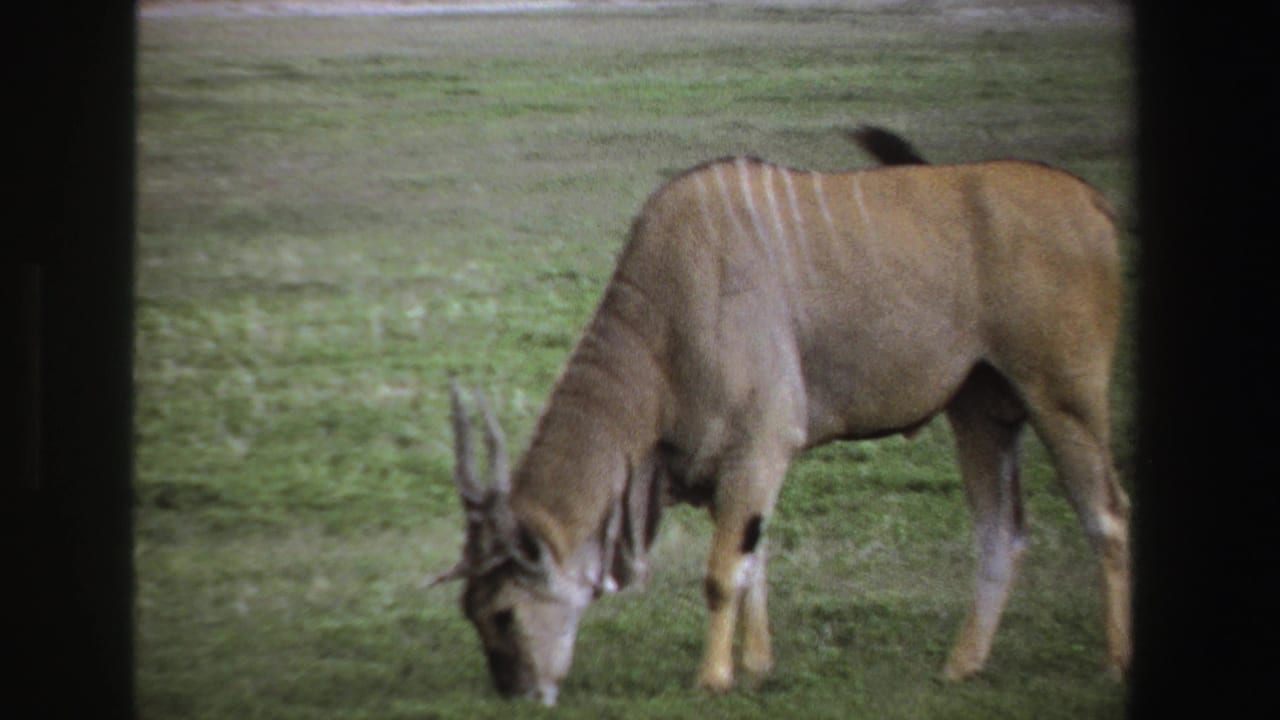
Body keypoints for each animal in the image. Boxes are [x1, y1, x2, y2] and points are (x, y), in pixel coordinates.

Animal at [429, 127, 1129, 704]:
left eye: (502, 613)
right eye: (470, 613)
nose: (516, 692)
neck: (667, 318)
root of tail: (1093, 201)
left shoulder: (760, 447)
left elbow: (722, 574)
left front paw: (713, 678)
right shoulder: (738, 470)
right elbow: (754, 563)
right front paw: (758, 668)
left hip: (1063, 398)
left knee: (1108, 515)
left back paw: (1113, 665)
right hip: (981, 409)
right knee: (1000, 533)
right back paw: (961, 666)